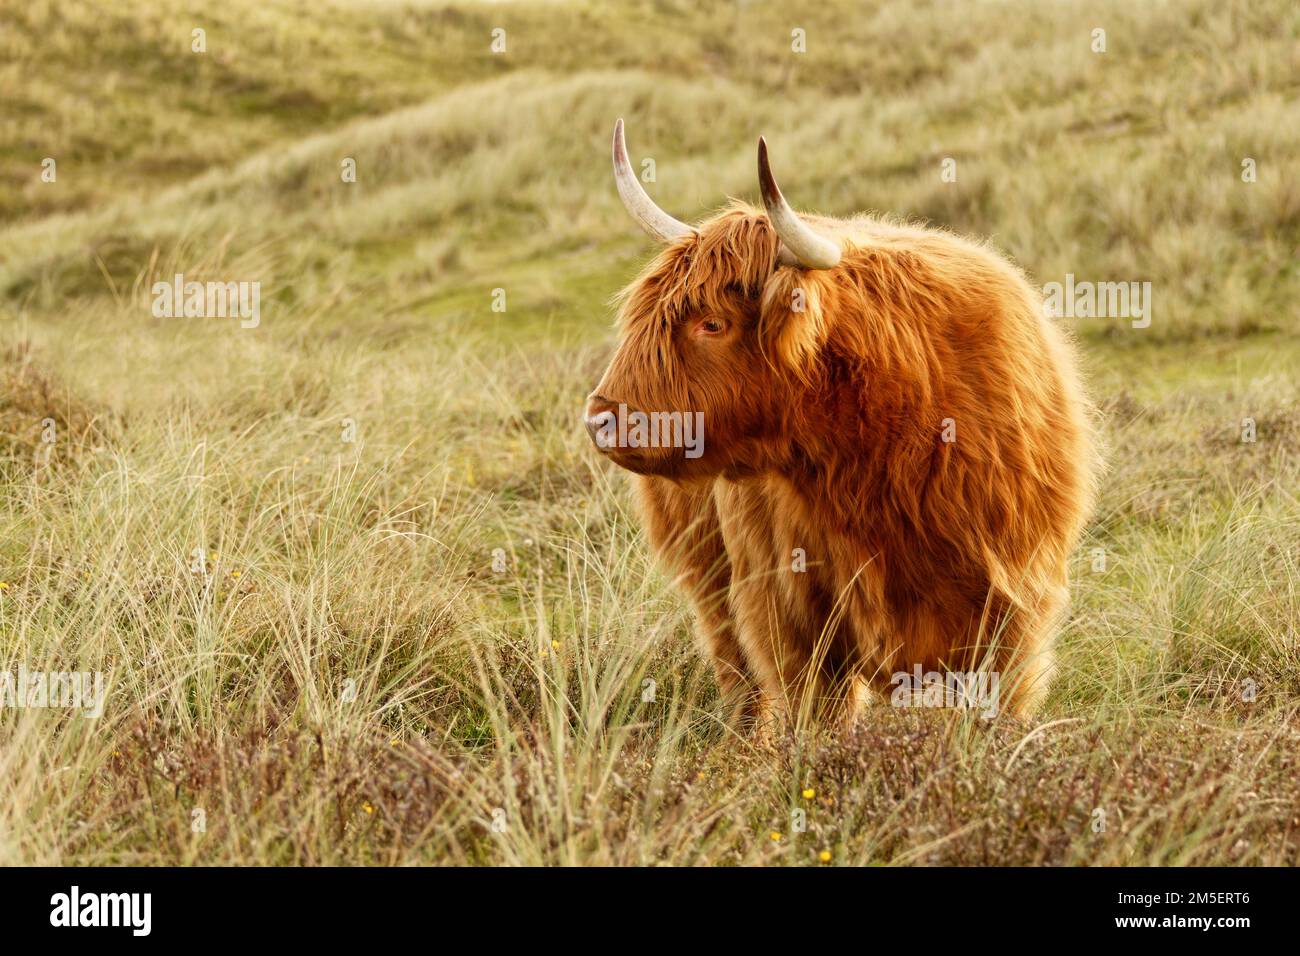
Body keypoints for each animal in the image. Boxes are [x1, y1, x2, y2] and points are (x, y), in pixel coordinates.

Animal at [587, 119, 1097, 723]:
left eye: (712, 323)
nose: (602, 418)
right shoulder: (792, 611)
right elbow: (817, 709)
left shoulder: (1012, 604)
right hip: (707, 570)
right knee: (735, 669)